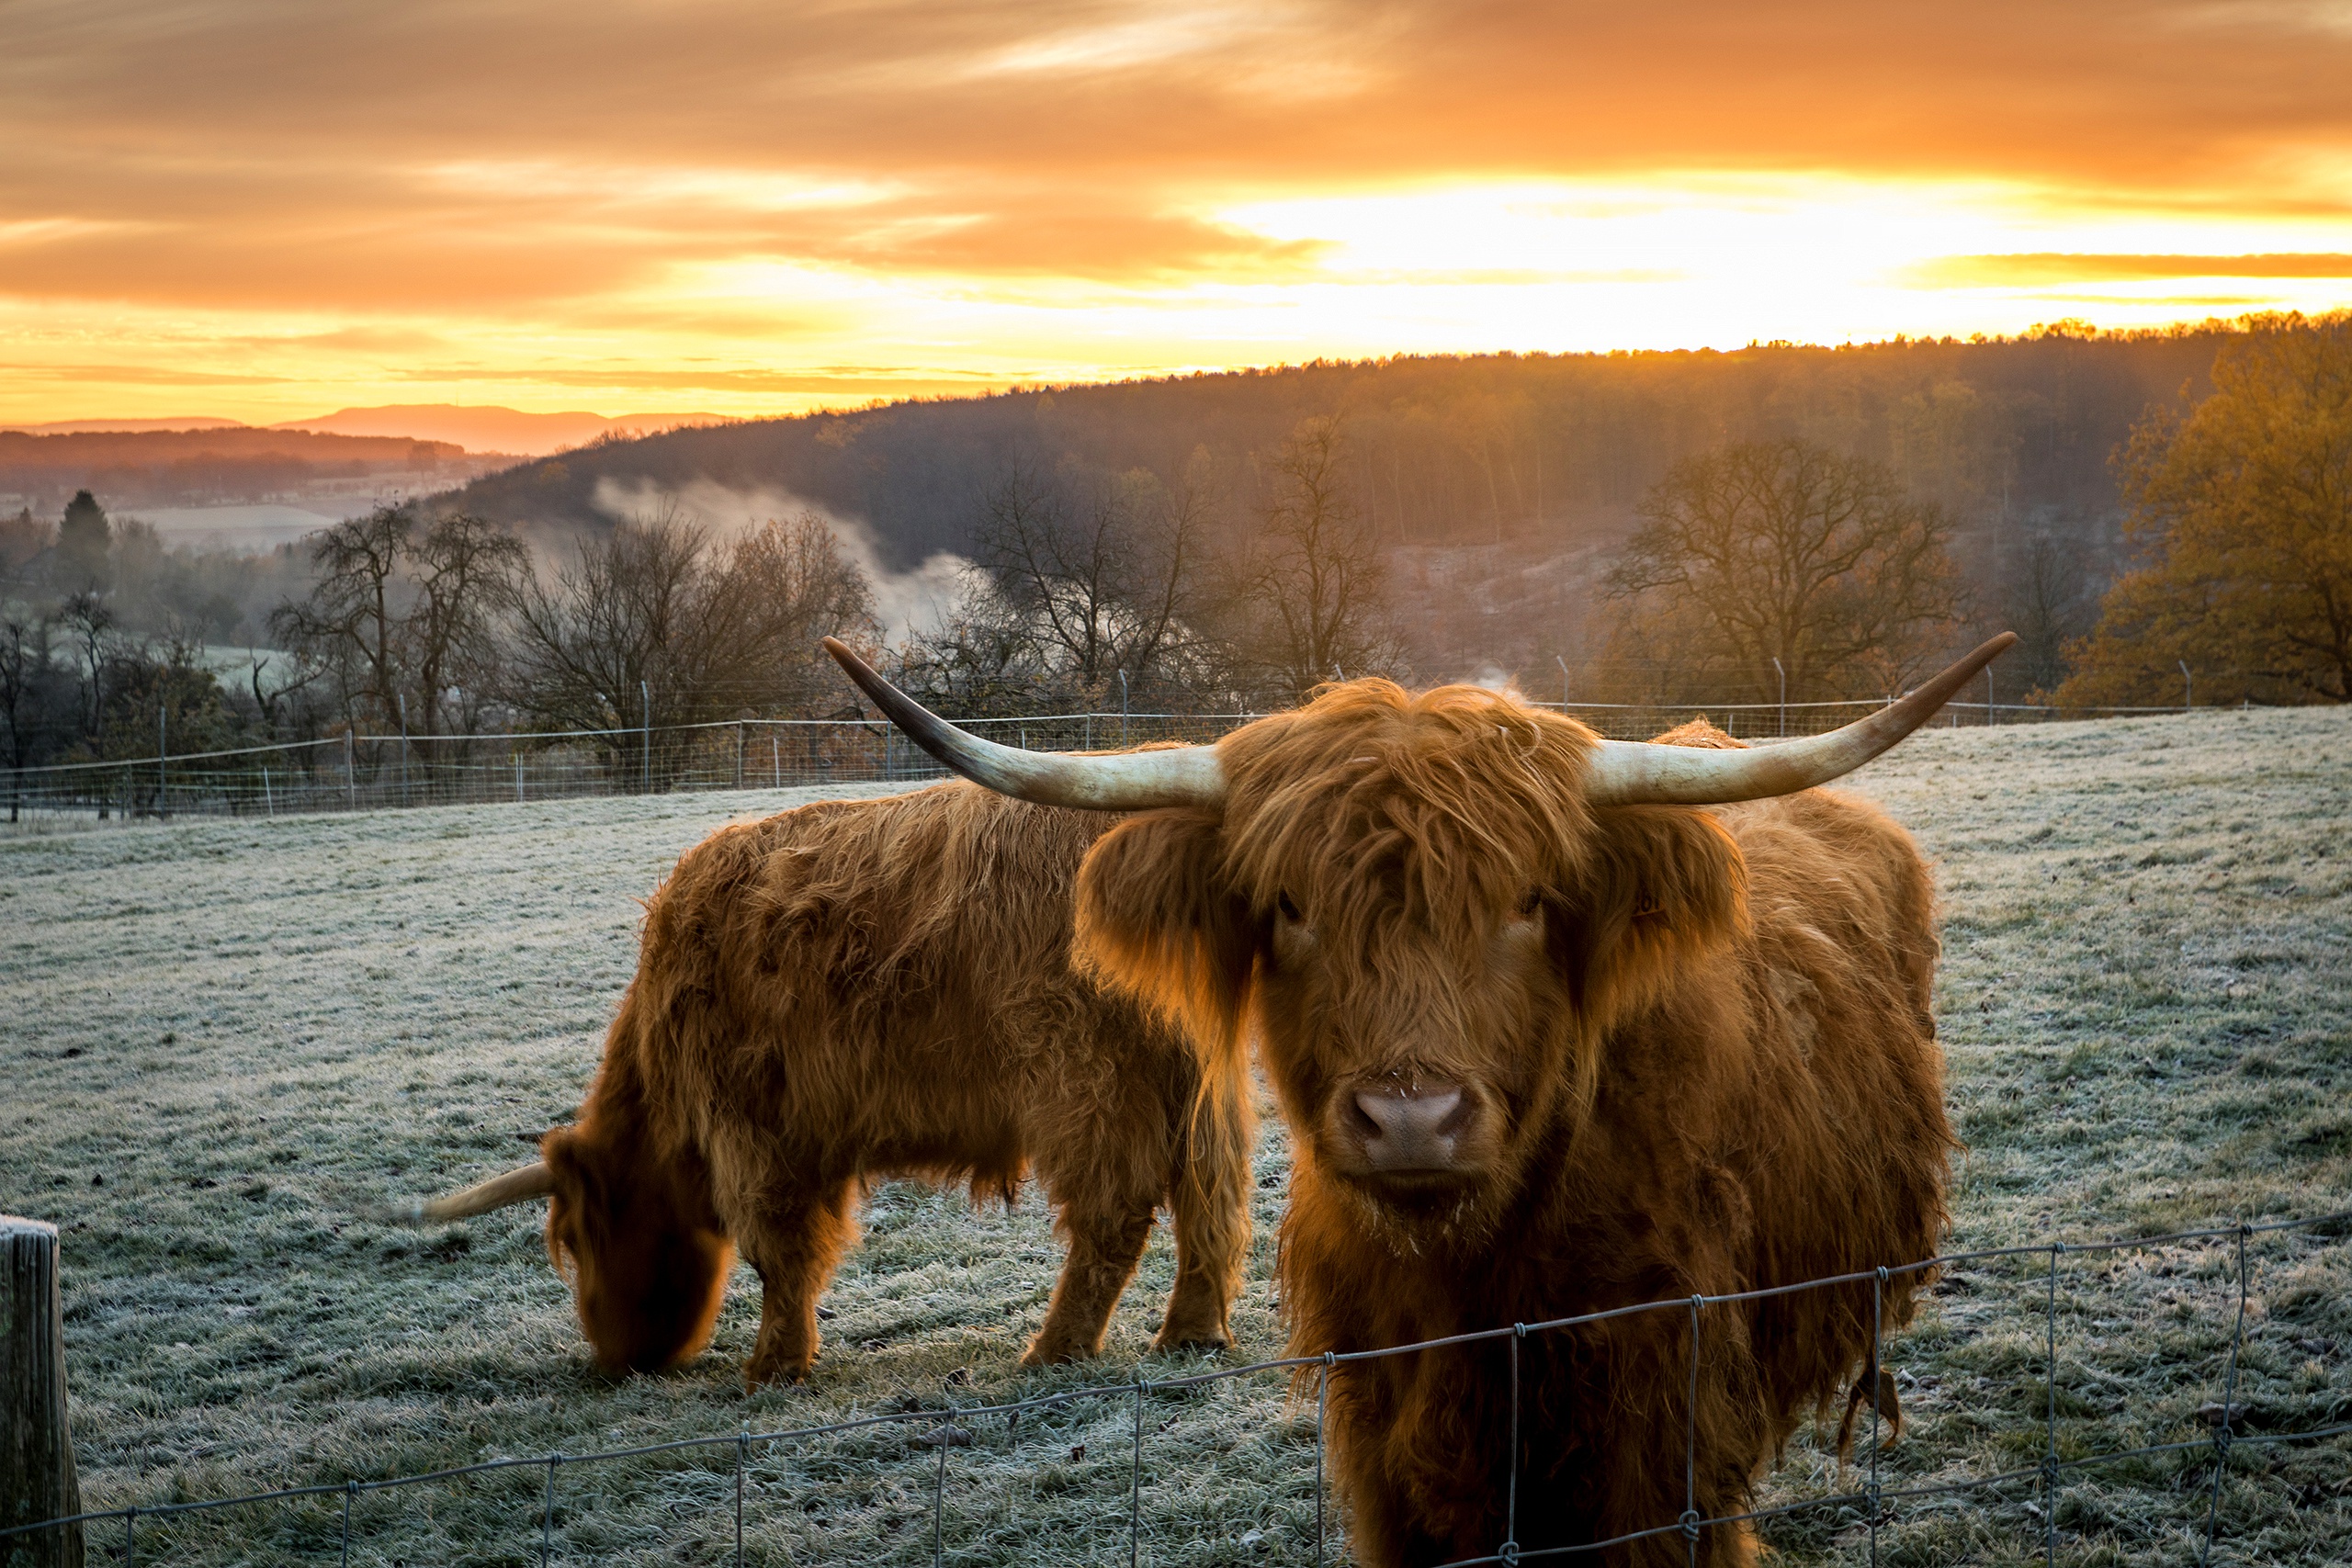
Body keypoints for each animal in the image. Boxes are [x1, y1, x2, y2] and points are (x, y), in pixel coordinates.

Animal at [387, 783, 1253, 1388]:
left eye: (576, 1238)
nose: (615, 1358)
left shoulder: (751, 1127)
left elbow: (779, 1249)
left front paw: (774, 1366)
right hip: (1195, 1083)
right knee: (1211, 1197)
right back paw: (1191, 1333)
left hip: (1083, 1079)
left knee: (1115, 1210)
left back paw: (1053, 1350)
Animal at [822, 633, 2012, 1566]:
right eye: (1289, 905)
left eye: (1530, 902)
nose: (1409, 1121)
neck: (1475, 1288)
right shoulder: (1383, 1443)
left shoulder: (1661, 1440)